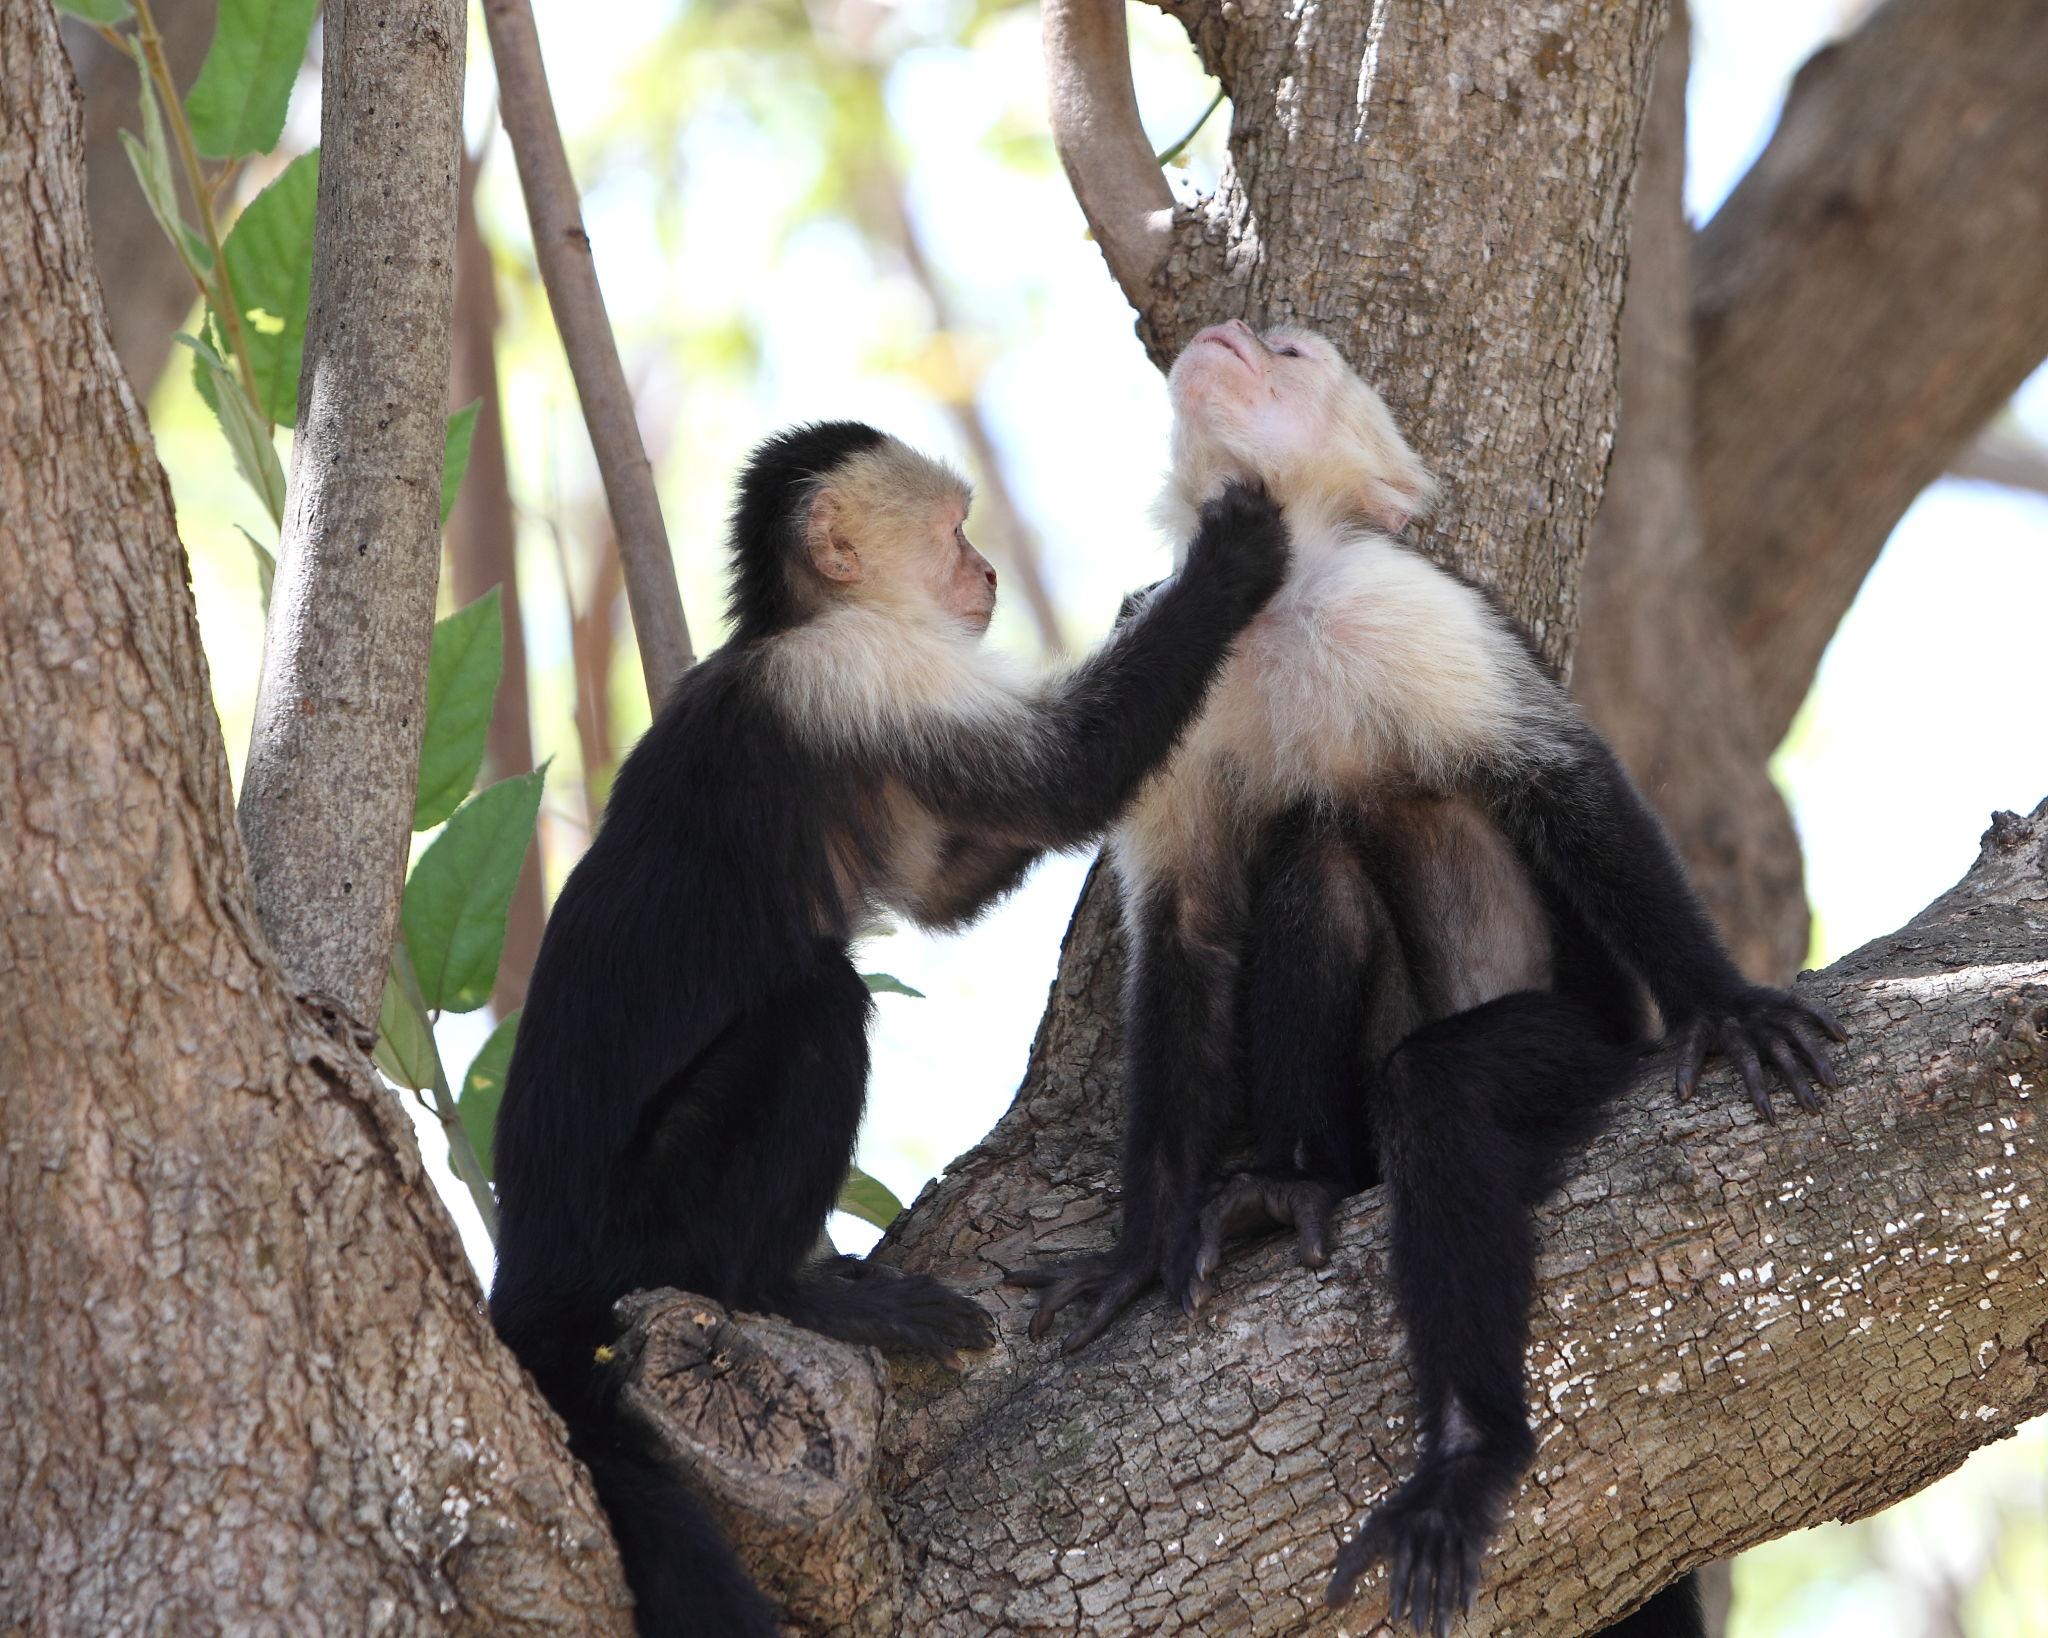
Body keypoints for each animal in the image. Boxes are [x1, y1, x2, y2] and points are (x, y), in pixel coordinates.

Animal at [487, 420, 1292, 1637]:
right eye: (956, 533)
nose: (988, 574)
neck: (795, 623)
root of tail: (527, 1255)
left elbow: (951, 879)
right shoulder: (863, 670)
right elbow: (1065, 779)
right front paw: (1227, 561)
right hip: (638, 1216)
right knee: (818, 1003)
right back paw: (780, 1287)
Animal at [1009, 323, 1845, 1637]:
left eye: (1289, 351)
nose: (1225, 335)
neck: (1275, 608)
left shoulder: (1409, 602)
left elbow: (1566, 786)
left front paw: (1726, 1004)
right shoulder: (1167, 661)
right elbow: (1185, 938)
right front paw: (1137, 1245)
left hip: (1582, 1046)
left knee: (1438, 1087)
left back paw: (1465, 1457)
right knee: (1313, 857)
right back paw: (1292, 1182)